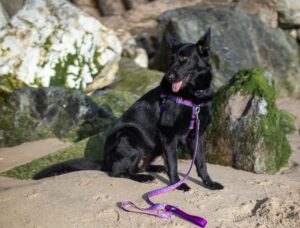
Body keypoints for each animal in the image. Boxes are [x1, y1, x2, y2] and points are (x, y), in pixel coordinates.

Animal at [34, 29, 223, 191]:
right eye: (172, 59)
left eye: (184, 59)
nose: (168, 77)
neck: (193, 97)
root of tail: (105, 161)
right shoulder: (168, 135)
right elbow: (173, 163)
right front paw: (178, 184)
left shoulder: (197, 136)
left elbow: (201, 162)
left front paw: (209, 183)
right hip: (129, 135)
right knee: (118, 172)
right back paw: (142, 177)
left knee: (138, 166)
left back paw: (154, 168)